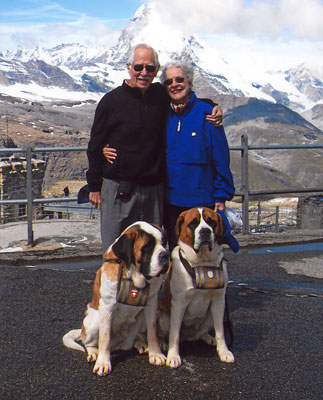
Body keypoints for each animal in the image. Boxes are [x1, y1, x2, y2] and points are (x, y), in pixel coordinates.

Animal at [62, 222, 170, 376]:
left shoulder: (151, 304)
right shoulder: (107, 308)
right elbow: (105, 337)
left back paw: (141, 344)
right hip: (94, 321)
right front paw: (103, 362)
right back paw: (94, 353)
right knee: (88, 343)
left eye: (164, 243)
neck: (132, 274)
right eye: (147, 247)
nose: (165, 255)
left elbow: (152, 331)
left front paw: (156, 354)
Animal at [158, 209, 237, 368]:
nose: (205, 231)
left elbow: (220, 331)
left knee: (202, 332)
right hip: (162, 315)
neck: (202, 262)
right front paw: (173, 356)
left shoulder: (219, 301)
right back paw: (163, 343)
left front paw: (224, 352)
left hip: (211, 315)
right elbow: (174, 334)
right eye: (193, 223)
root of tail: (188, 336)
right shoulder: (179, 304)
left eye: (211, 222)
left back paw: (209, 338)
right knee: (167, 333)